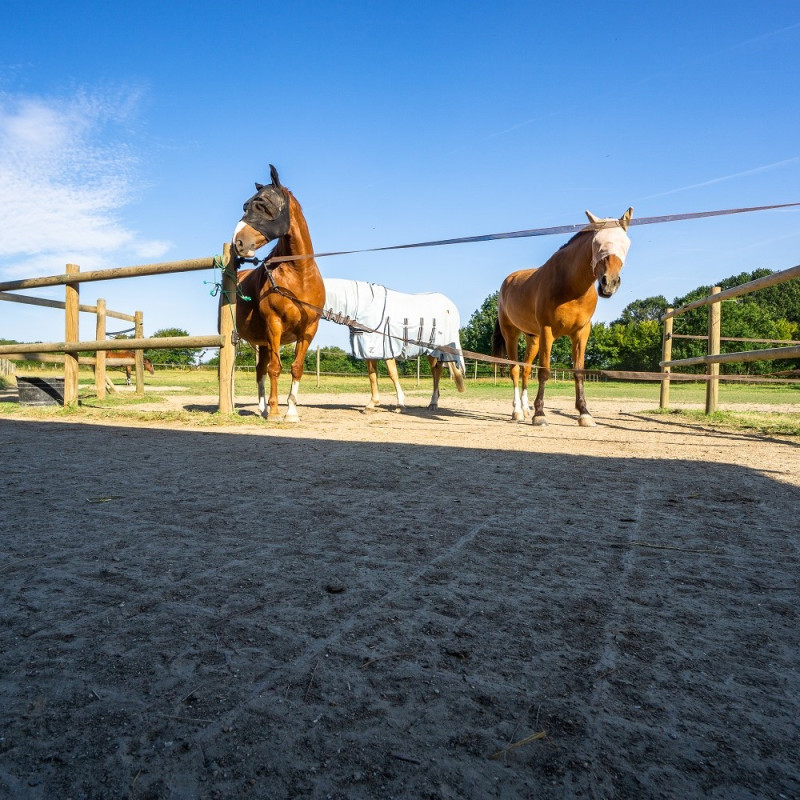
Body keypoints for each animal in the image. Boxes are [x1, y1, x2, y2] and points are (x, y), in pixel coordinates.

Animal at [322, 278, 466, 410]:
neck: (366, 307)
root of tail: (449, 306)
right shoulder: (369, 350)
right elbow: (372, 375)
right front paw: (372, 403)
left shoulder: (388, 349)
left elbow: (393, 374)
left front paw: (400, 404)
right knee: (435, 371)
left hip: (436, 350)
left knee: (437, 372)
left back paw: (433, 403)